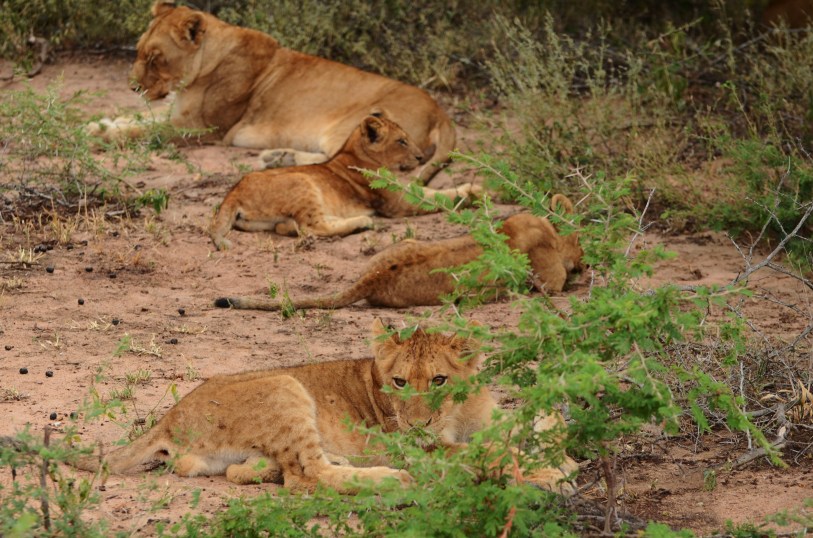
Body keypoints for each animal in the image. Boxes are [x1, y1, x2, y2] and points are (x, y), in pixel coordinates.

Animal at [72, 319, 576, 494]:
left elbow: (539, 420)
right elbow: (485, 450)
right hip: (285, 386)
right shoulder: (419, 446)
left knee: (265, 470)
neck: (459, 412)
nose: (417, 425)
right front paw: (552, 472)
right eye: (398, 382)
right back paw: (393, 479)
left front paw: (560, 455)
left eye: (439, 380)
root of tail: (168, 418)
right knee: (308, 476)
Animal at [86, 1, 455, 182]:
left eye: (155, 58)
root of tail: (441, 111)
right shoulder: (175, 112)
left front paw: (99, 134)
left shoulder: (201, 129)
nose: (132, 86)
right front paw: (97, 123)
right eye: (137, 51)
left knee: (353, 161)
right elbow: (135, 118)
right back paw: (279, 157)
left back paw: (278, 159)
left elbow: (141, 130)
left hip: (358, 122)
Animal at [209, 114, 479, 250]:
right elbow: (436, 198)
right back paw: (363, 222)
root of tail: (234, 191)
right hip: (302, 181)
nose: (421, 157)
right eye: (401, 141)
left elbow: (429, 191)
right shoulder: (397, 204)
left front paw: (472, 189)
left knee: (289, 227)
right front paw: (472, 192)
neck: (353, 152)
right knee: (312, 228)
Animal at [214, 196, 583, 310]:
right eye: (582, 244)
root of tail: (372, 277)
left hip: (405, 243)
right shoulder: (549, 281)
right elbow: (558, 284)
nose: (584, 260)